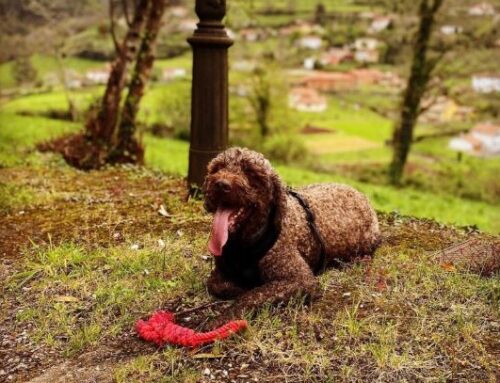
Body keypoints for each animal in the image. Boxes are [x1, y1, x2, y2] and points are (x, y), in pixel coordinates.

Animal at [203, 148, 378, 320]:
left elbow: (253, 295)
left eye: (251, 172)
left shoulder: (301, 280)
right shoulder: (221, 272)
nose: (221, 185)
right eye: (217, 168)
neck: (243, 244)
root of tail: (360, 194)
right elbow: (214, 284)